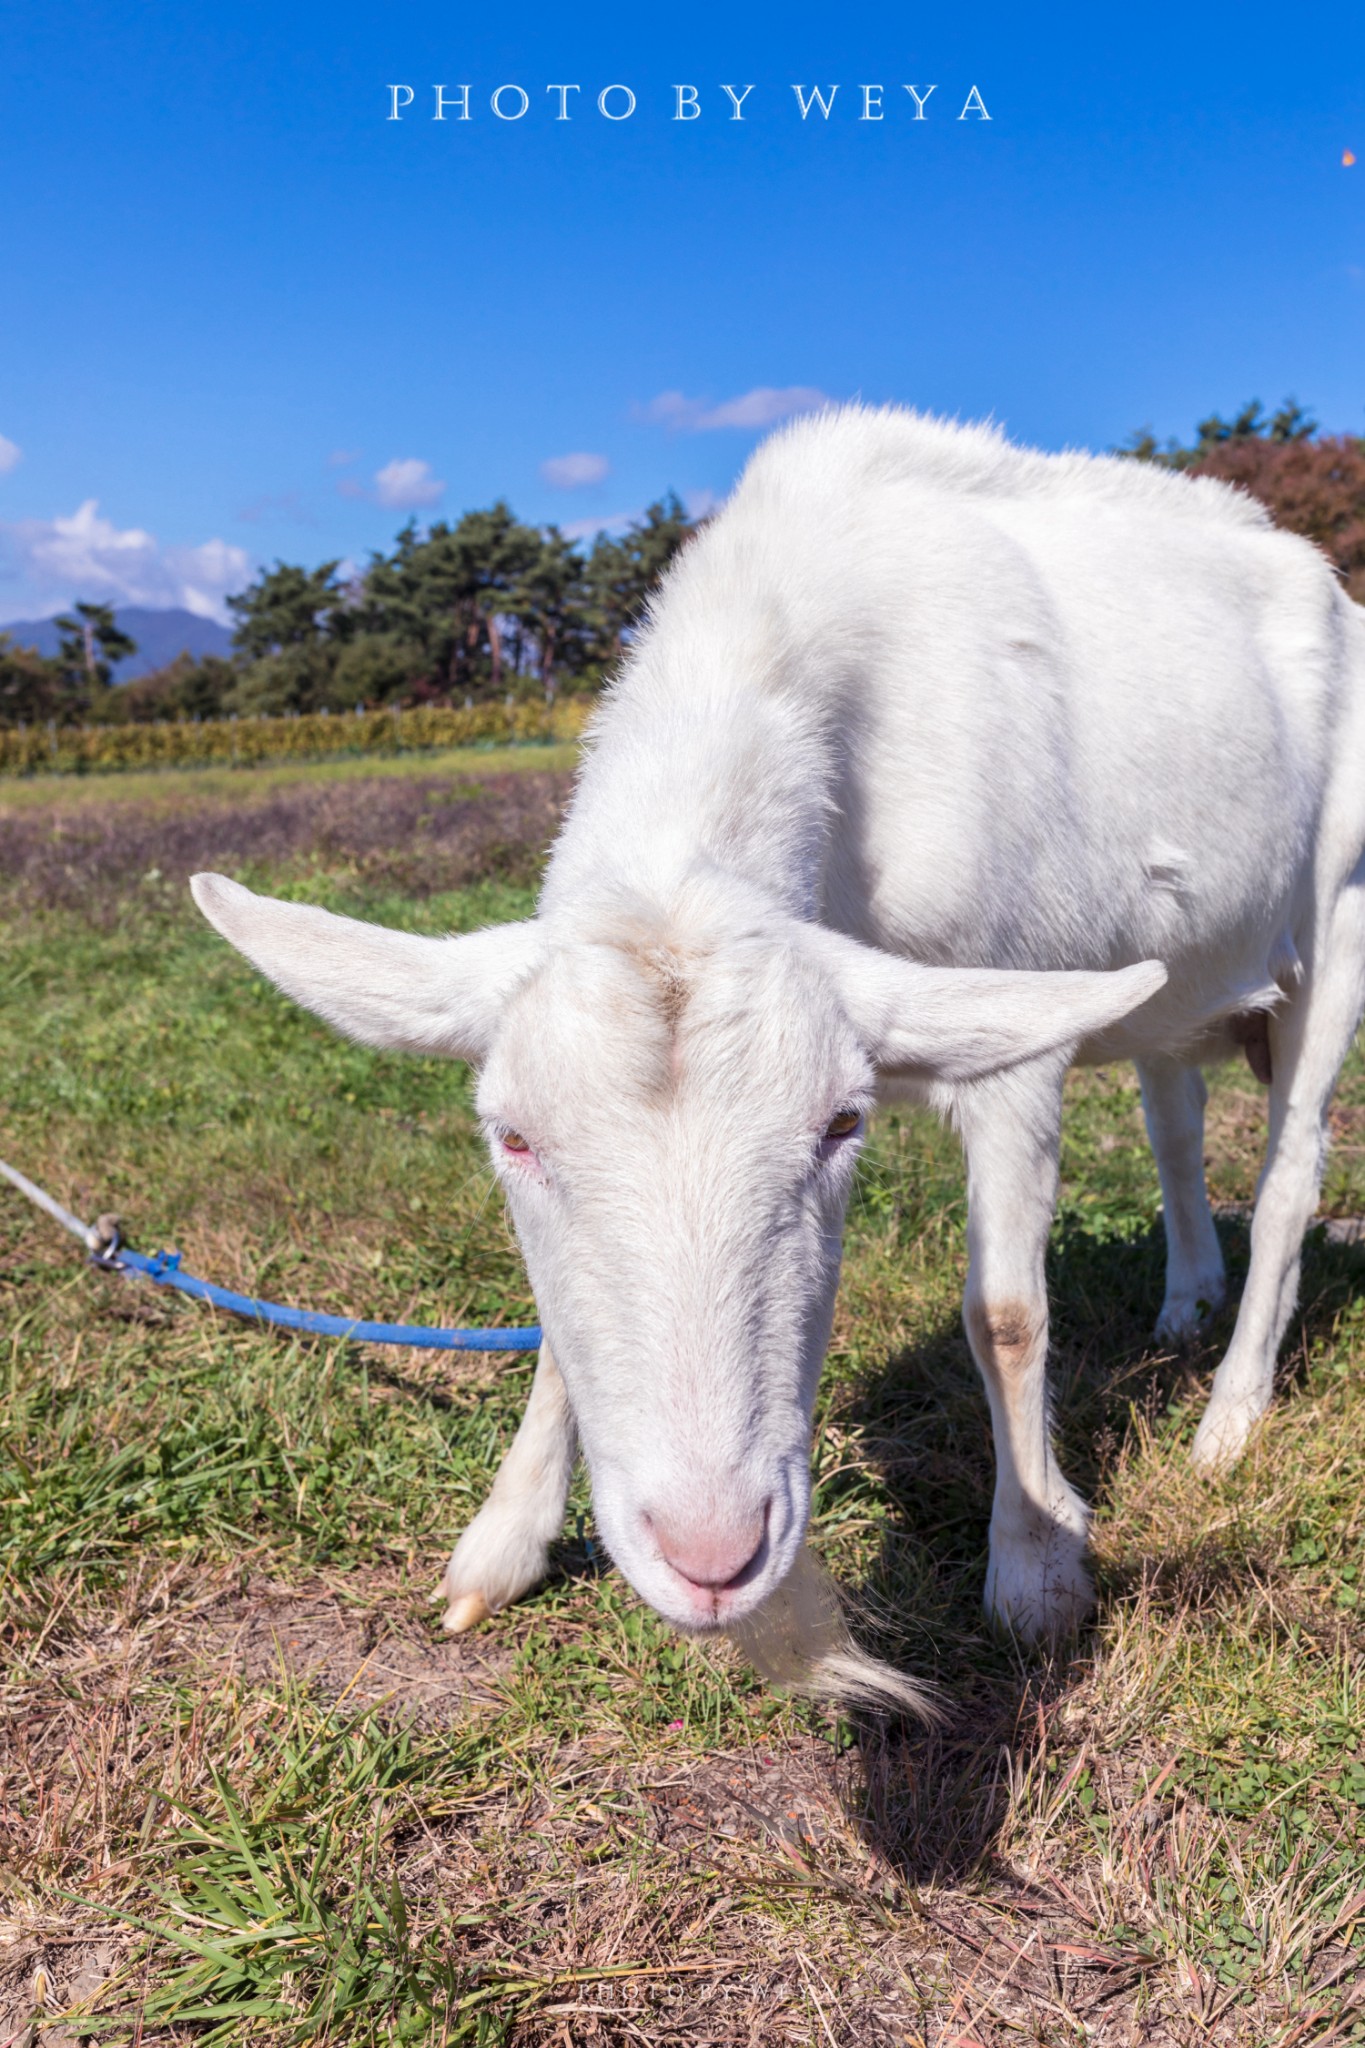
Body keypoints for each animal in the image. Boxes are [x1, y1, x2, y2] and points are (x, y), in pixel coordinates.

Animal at [192, 403, 1365, 1712]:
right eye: (512, 1137)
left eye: (840, 1125)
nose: (713, 1553)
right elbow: (557, 1332)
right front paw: (501, 1545)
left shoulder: (1013, 1023)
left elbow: (1007, 1311)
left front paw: (1036, 1568)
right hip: (1177, 970)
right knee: (1174, 1113)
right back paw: (1184, 1300)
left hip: (1336, 913)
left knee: (1290, 1172)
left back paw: (1229, 1415)